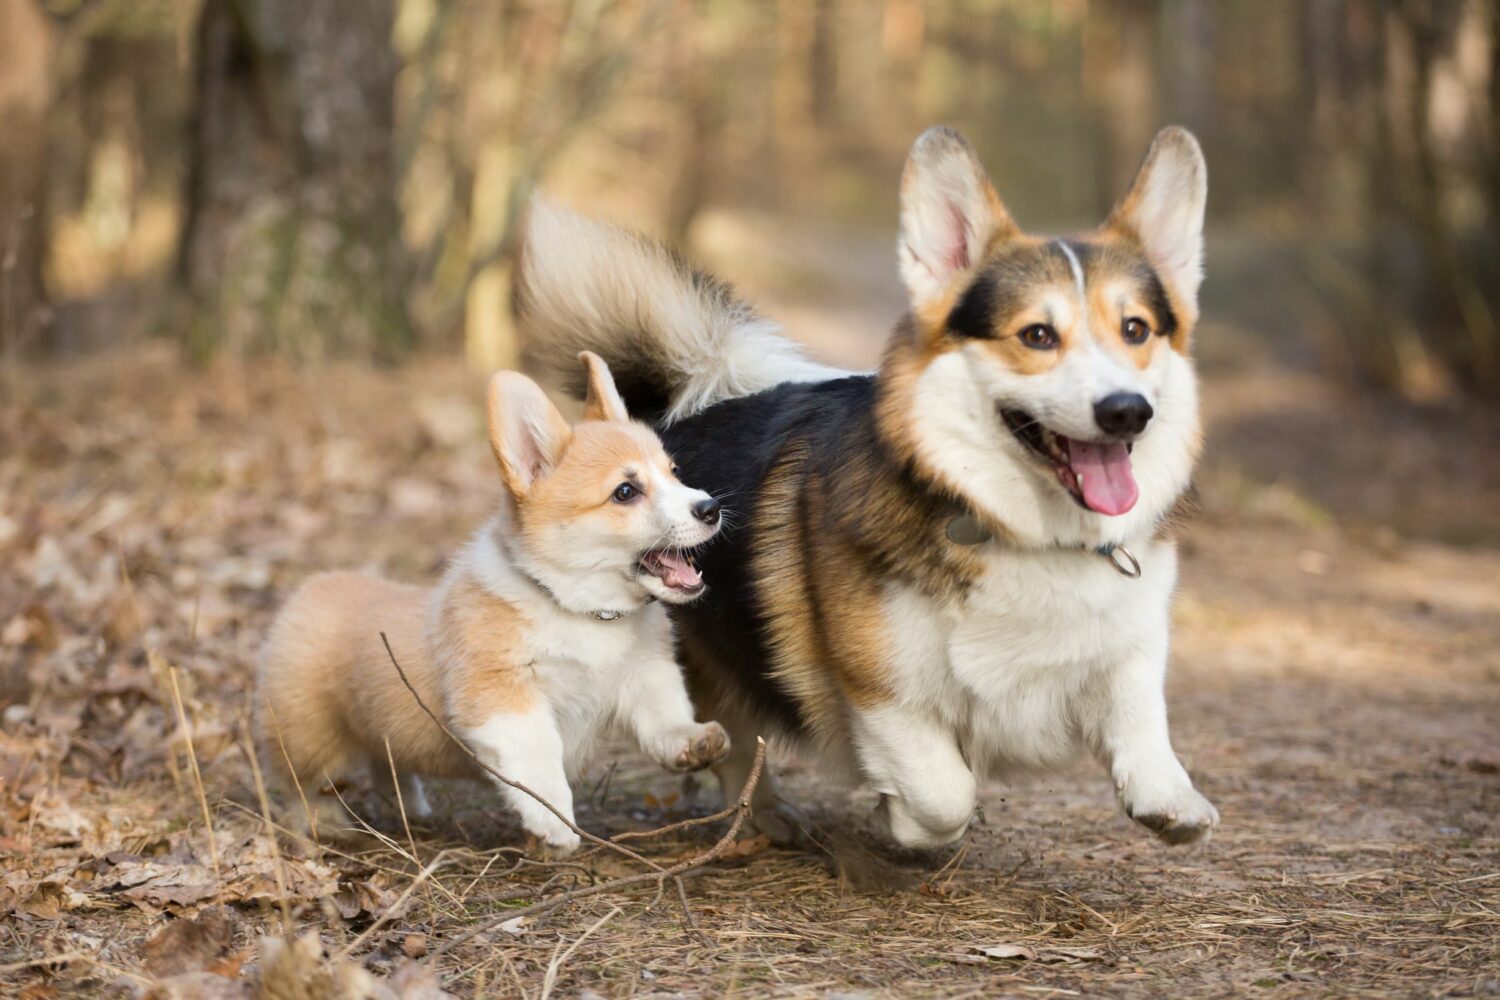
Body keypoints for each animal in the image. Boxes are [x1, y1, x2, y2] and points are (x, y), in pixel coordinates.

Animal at [259, 352, 732, 851]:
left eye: (674, 473)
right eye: (626, 492)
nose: (711, 508)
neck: (581, 608)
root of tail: (312, 587)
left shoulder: (644, 675)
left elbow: (665, 718)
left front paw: (694, 742)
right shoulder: (504, 699)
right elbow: (539, 763)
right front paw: (556, 826)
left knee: (387, 765)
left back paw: (409, 808)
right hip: (306, 738)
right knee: (304, 784)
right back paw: (325, 823)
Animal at [516, 122, 1218, 845]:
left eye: (1135, 329)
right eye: (1038, 335)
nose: (1127, 410)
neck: (1025, 531)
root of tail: (674, 413)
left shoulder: (1133, 641)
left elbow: (1140, 712)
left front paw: (1168, 799)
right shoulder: (880, 690)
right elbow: (944, 794)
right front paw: (899, 818)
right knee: (730, 736)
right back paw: (767, 816)